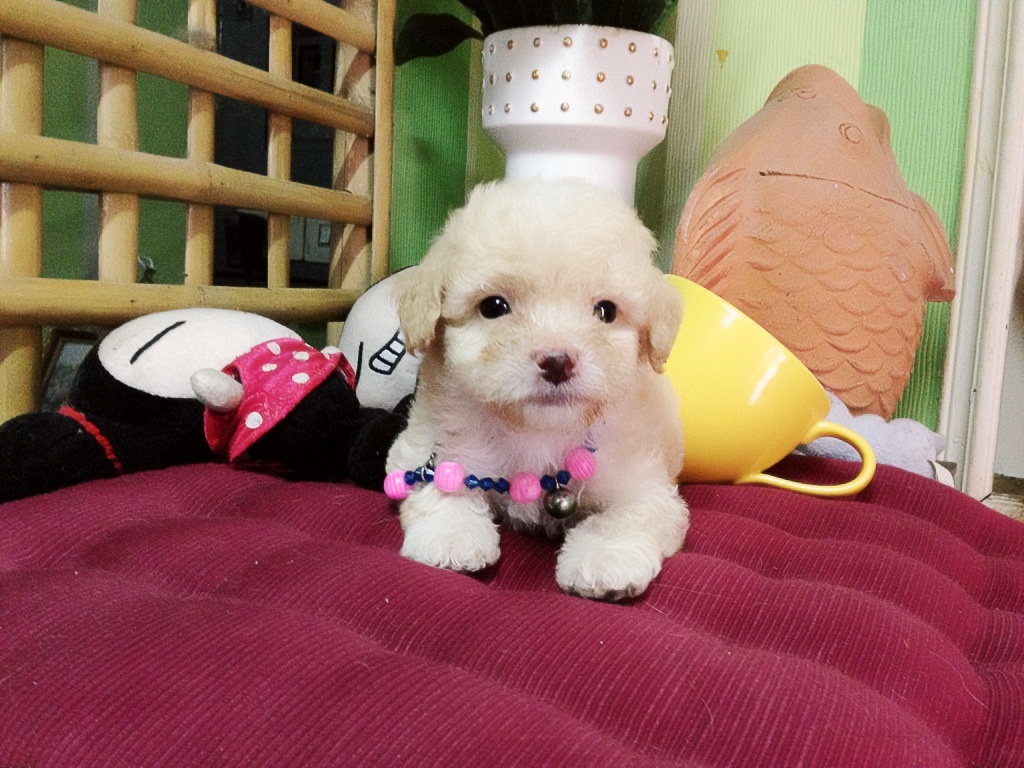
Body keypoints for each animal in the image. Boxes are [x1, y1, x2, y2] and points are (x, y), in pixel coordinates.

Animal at [384, 178, 688, 600]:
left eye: (606, 311)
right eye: (493, 306)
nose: (557, 360)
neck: (537, 430)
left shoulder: (644, 482)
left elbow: (627, 515)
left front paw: (605, 560)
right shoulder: (427, 445)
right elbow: (438, 484)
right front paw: (450, 535)